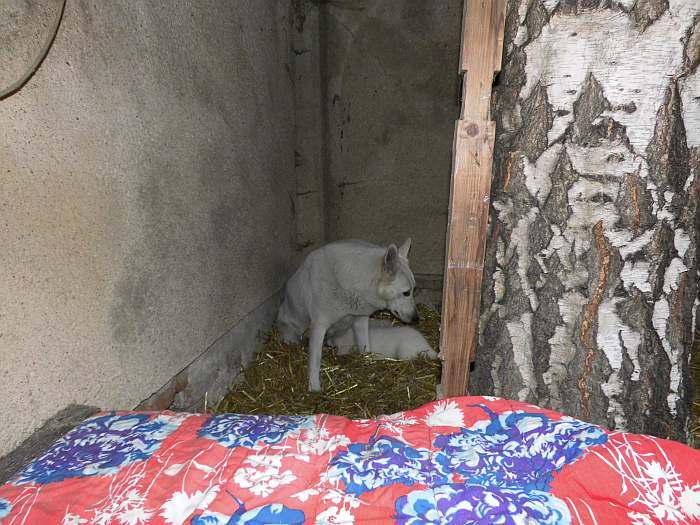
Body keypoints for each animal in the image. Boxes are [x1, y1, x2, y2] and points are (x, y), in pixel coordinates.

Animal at [274, 239, 418, 390]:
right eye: (406, 293)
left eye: (414, 290)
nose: (417, 319)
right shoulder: (319, 326)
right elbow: (315, 361)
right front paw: (314, 388)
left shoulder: (360, 320)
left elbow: (365, 346)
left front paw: (368, 362)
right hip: (292, 332)